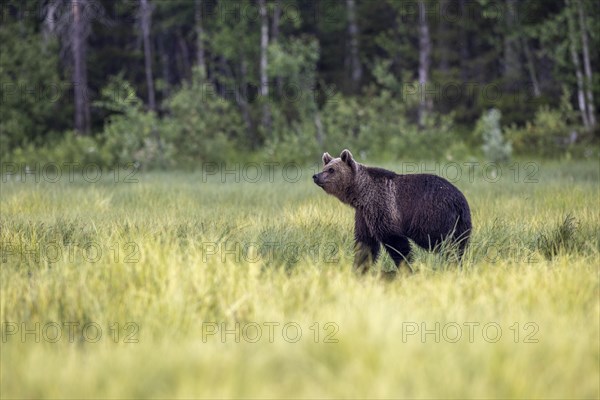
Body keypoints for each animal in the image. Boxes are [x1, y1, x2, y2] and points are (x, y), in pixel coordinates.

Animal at [312, 148, 472, 274]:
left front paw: (406, 268)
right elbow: (365, 243)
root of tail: (459, 200)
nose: (316, 176)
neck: (361, 193)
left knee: (444, 242)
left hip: (433, 214)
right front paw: (359, 268)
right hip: (460, 222)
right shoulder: (364, 214)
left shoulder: (382, 206)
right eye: (325, 167)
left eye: (331, 170)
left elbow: (394, 240)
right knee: (459, 243)